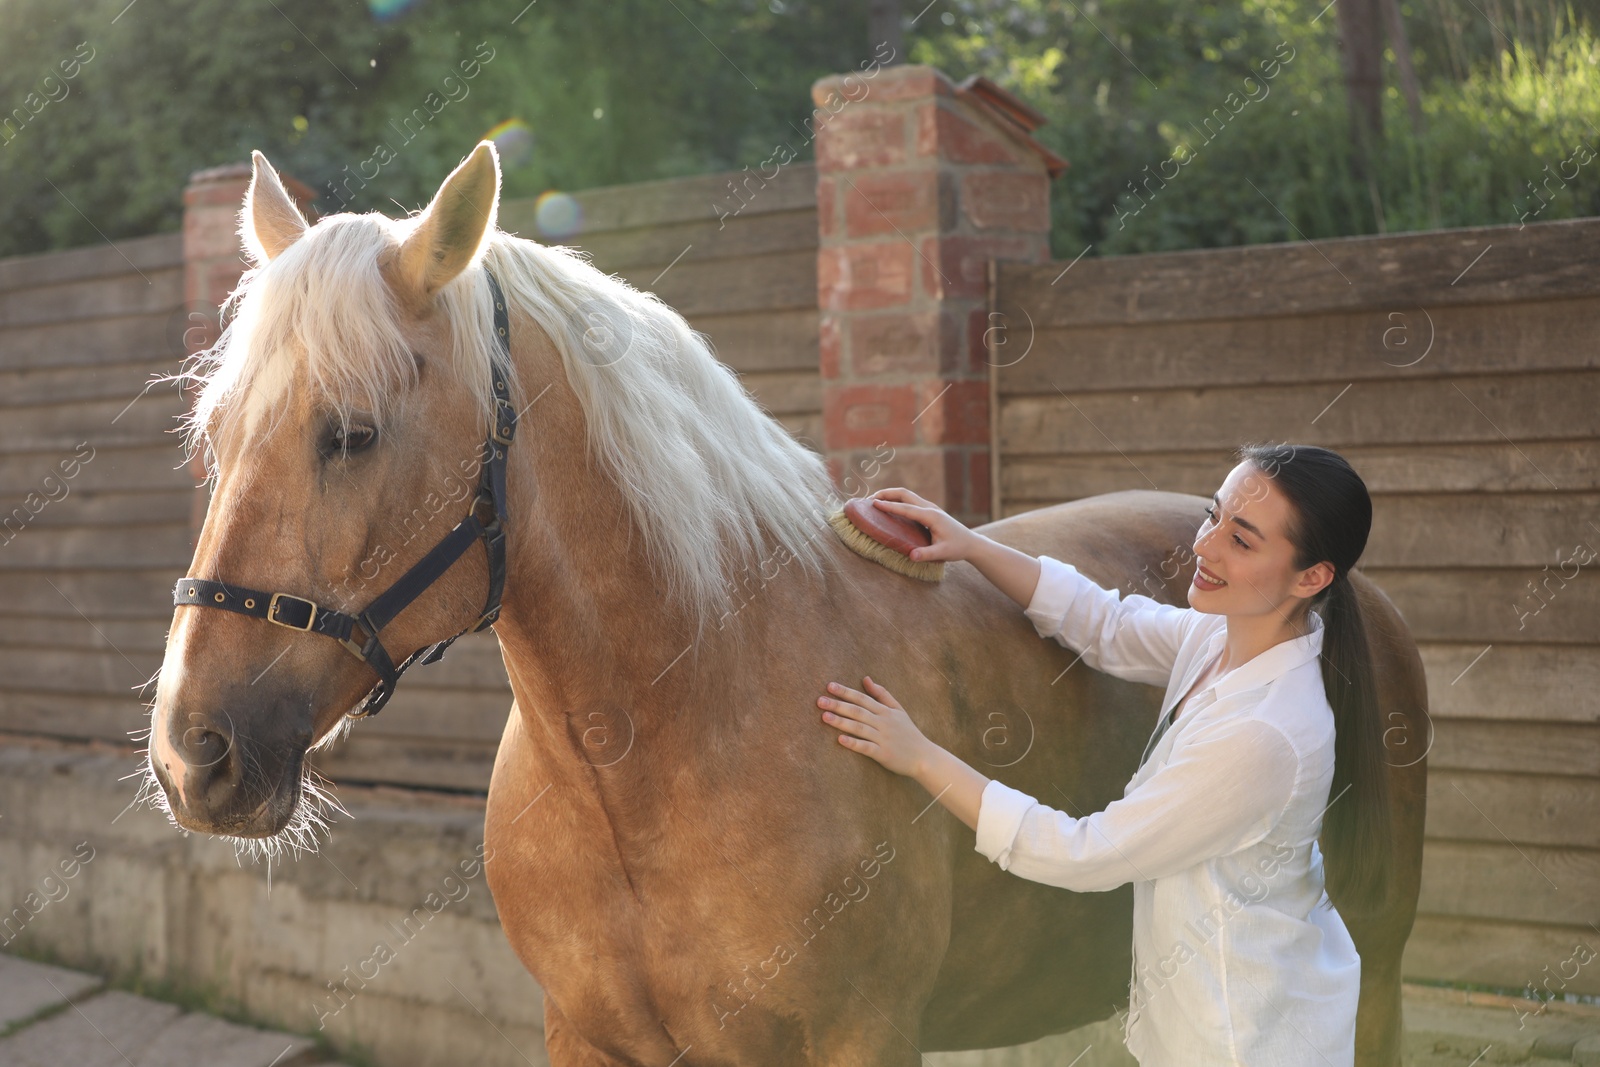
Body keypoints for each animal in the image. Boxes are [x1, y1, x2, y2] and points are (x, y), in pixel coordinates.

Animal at [150, 143, 1427, 1067]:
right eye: (214, 436)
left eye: (351, 432)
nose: (193, 752)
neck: (653, 741)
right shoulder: (587, 1038)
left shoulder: (860, 1038)